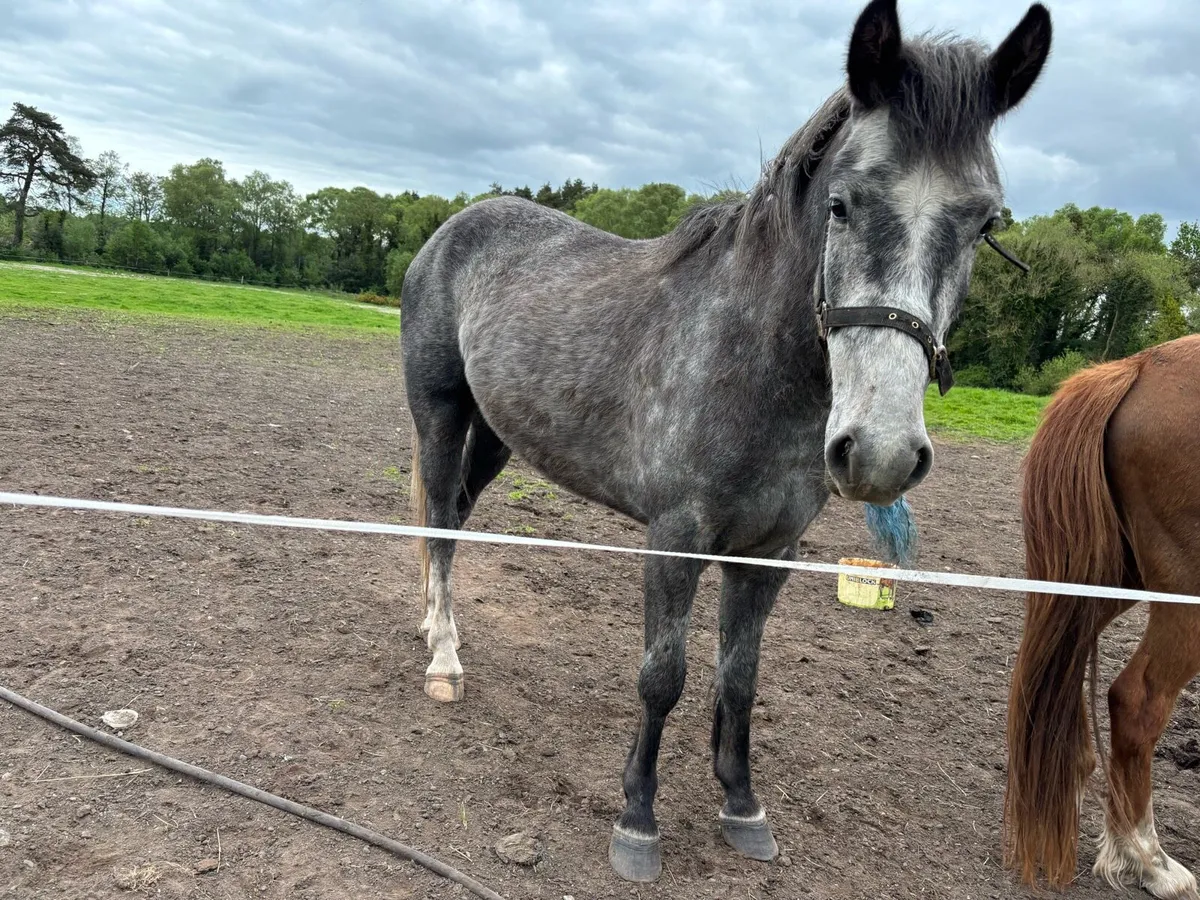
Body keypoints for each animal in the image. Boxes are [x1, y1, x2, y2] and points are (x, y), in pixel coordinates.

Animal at [402, 0, 1052, 882]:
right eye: (842, 204)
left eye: (985, 222)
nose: (880, 452)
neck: (750, 362)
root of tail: (455, 228)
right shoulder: (675, 538)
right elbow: (664, 676)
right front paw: (637, 820)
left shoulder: (771, 552)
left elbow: (739, 679)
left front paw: (743, 806)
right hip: (439, 411)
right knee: (439, 520)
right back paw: (444, 661)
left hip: (499, 434)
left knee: (457, 516)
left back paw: (437, 628)